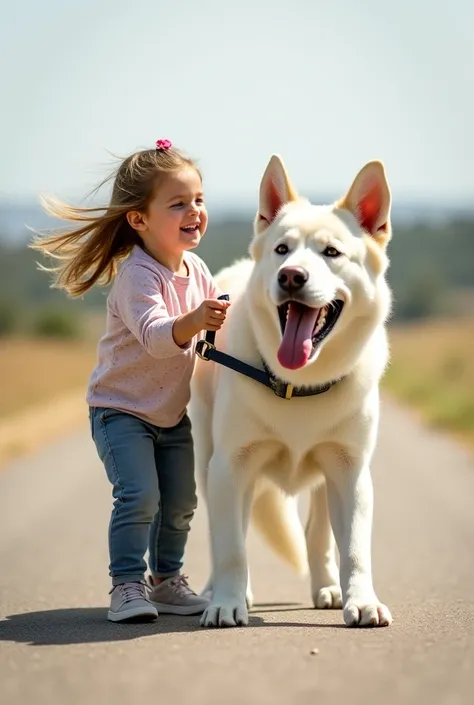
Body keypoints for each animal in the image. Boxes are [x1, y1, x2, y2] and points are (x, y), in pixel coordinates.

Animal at [191, 154, 394, 628]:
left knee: (317, 534)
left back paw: (328, 588)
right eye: (282, 249)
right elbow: (231, 546)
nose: (291, 276)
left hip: (324, 476)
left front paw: (362, 601)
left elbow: (354, 549)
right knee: (225, 530)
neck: (296, 385)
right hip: (209, 463)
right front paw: (226, 602)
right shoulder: (231, 465)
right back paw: (221, 592)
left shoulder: (351, 472)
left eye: (331, 253)